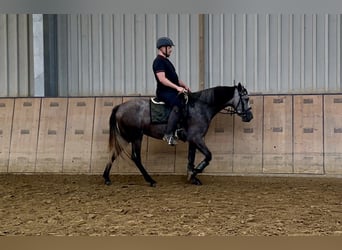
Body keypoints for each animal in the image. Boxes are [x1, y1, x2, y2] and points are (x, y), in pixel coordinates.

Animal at [103, 82, 254, 186]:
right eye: (246, 98)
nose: (250, 117)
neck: (201, 107)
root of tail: (119, 107)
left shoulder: (193, 140)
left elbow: (191, 158)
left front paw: (192, 177)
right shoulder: (197, 138)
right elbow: (208, 156)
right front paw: (195, 172)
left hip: (127, 137)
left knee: (116, 152)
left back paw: (107, 178)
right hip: (135, 136)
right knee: (135, 157)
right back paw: (150, 180)